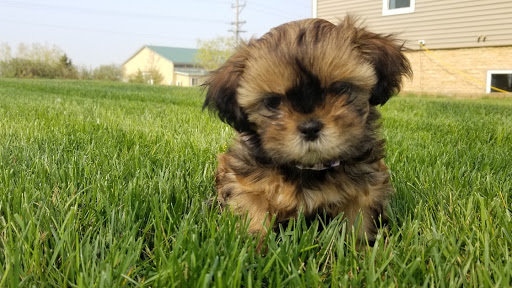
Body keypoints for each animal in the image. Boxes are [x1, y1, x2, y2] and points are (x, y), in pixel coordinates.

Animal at [203, 16, 412, 244]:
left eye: (341, 89)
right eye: (273, 102)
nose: (310, 128)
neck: (310, 168)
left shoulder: (364, 190)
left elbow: (358, 223)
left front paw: (360, 248)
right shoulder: (248, 184)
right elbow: (254, 215)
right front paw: (254, 245)